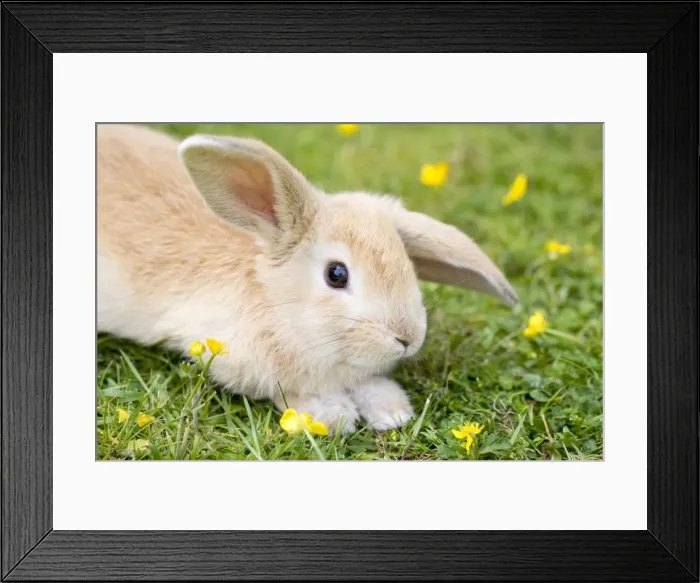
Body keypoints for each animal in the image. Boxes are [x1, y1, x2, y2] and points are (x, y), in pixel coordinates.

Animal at [97, 124, 518, 434]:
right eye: (336, 274)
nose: (407, 338)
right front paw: (335, 417)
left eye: (408, 266)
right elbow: (297, 394)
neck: (275, 301)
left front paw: (392, 411)